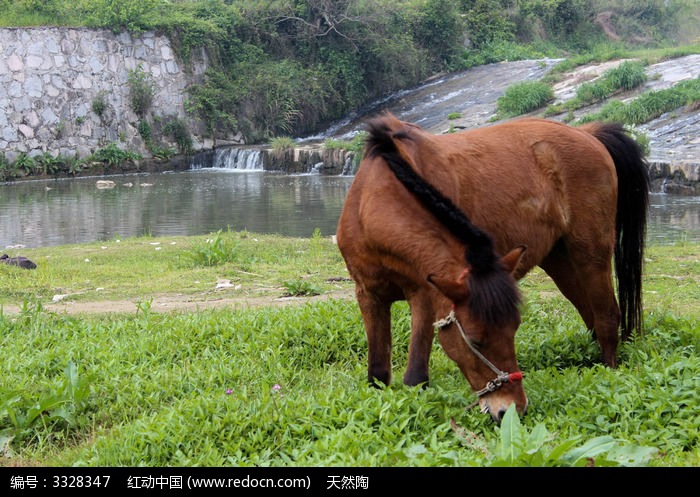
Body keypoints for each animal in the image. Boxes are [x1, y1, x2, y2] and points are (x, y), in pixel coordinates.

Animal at [336, 112, 648, 422]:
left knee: (607, 317)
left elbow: (415, 377)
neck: (373, 203)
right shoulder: (369, 295)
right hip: (560, 261)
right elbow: (378, 374)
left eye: (514, 330)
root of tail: (588, 133)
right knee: (591, 317)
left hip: (591, 255)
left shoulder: (424, 296)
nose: (512, 409)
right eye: (475, 341)